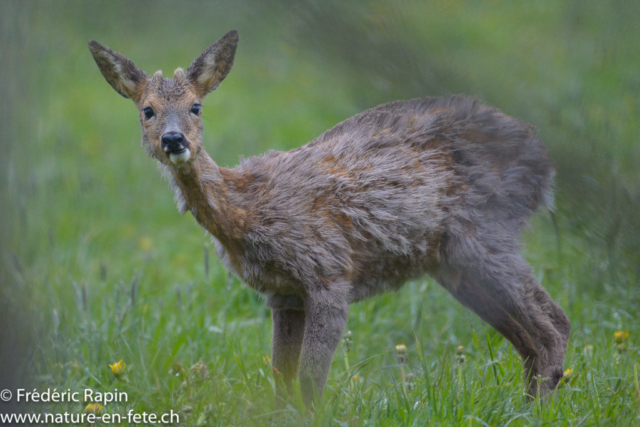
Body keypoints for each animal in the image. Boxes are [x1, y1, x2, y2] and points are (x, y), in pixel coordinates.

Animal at [89, 29, 568, 408]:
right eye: (147, 110)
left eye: (196, 106)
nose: (173, 140)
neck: (247, 212)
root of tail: (545, 162)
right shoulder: (283, 293)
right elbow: (281, 376)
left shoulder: (329, 272)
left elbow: (309, 377)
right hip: (454, 262)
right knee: (534, 333)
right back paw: (522, 406)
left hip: (482, 234)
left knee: (552, 325)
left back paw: (533, 411)